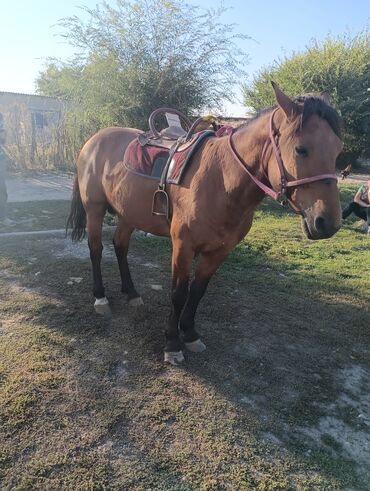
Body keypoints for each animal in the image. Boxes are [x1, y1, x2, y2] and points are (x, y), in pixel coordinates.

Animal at [68, 82, 342, 364]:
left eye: (338, 149)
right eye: (301, 149)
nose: (328, 223)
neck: (220, 180)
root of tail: (93, 141)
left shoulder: (219, 252)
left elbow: (198, 291)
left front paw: (189, 334)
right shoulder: (183, 247)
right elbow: (178, 294)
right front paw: (172, 343)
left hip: (128, 213)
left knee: (120, 246)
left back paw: (131, 292)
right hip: (94, 209)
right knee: (96, 249)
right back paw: (100, 298)